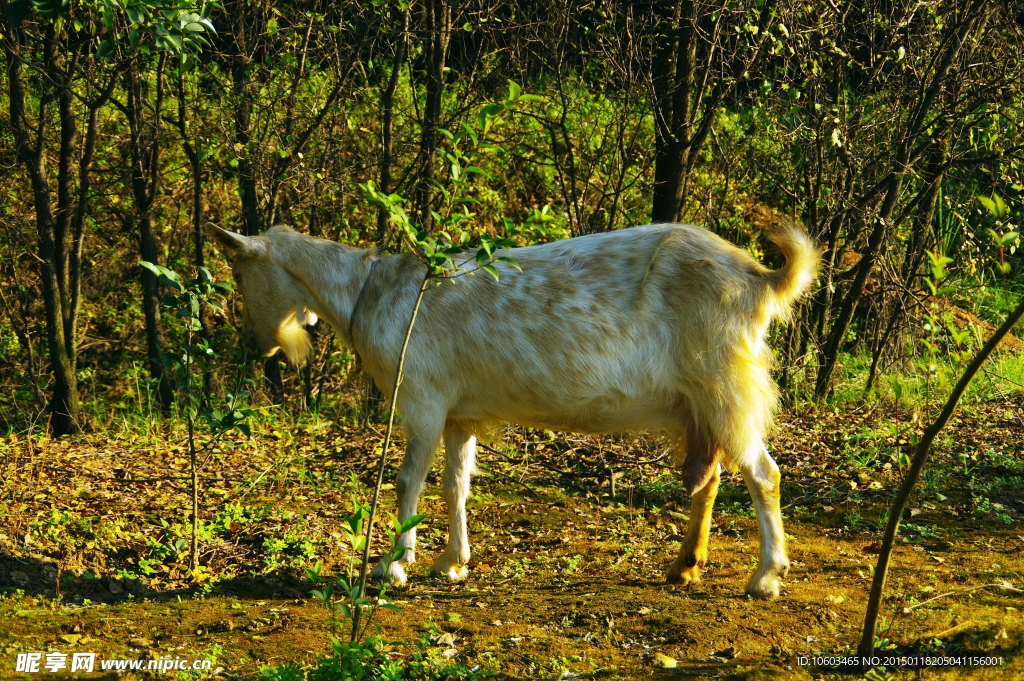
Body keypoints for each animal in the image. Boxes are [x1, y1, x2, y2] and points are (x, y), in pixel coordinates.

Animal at [205, 220, 815, 598]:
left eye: (237, 272)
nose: (254, 342)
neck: (369, 292)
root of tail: (761, 279)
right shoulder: (458, 414)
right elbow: (454, 484)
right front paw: (452, 562)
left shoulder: (422, 399)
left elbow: (407, 481)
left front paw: (393, 564)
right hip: (698, 403)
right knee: (708, 476)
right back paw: (683, 567)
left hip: (725, 382)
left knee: (764, 474)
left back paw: (765, 577)